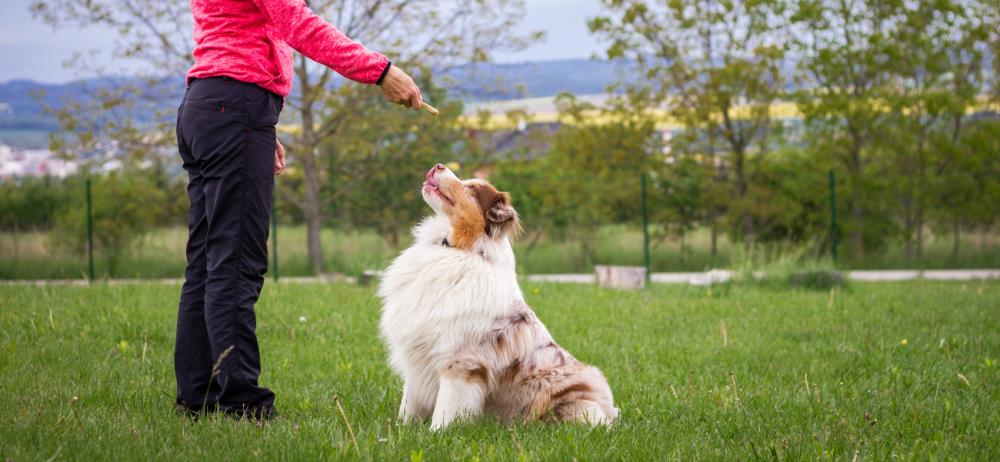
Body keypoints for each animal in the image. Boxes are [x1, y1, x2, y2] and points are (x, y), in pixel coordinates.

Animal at [378, 162, 616, 430]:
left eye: (472, 189)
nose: (438, 165)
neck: (460, 249)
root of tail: (610, 411)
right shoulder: (417, 355)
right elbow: (409, 404)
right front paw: (400, 429)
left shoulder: (460, 362)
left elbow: (446, 409)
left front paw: (437, 433)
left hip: (577, 401)